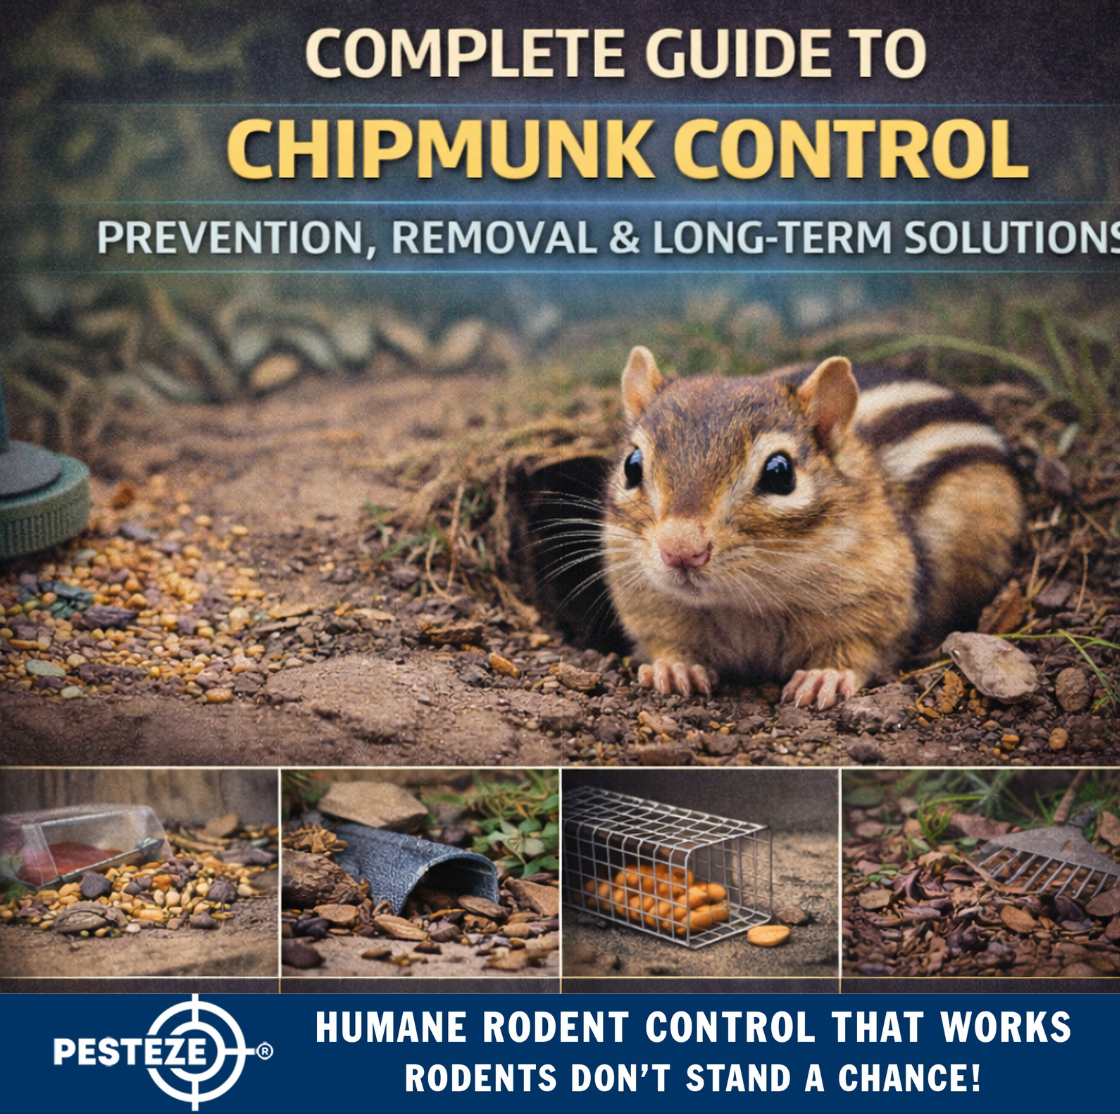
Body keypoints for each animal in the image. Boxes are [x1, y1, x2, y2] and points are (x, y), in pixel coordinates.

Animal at [602, 346, 1025, 708]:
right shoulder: (647, 601)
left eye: (780, 473)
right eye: (632, 465)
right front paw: (674, 668)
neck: (740, 604)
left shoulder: (878, 600)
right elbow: (664, 640)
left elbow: (859, 644)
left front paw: (824, 676)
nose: (680, 551)